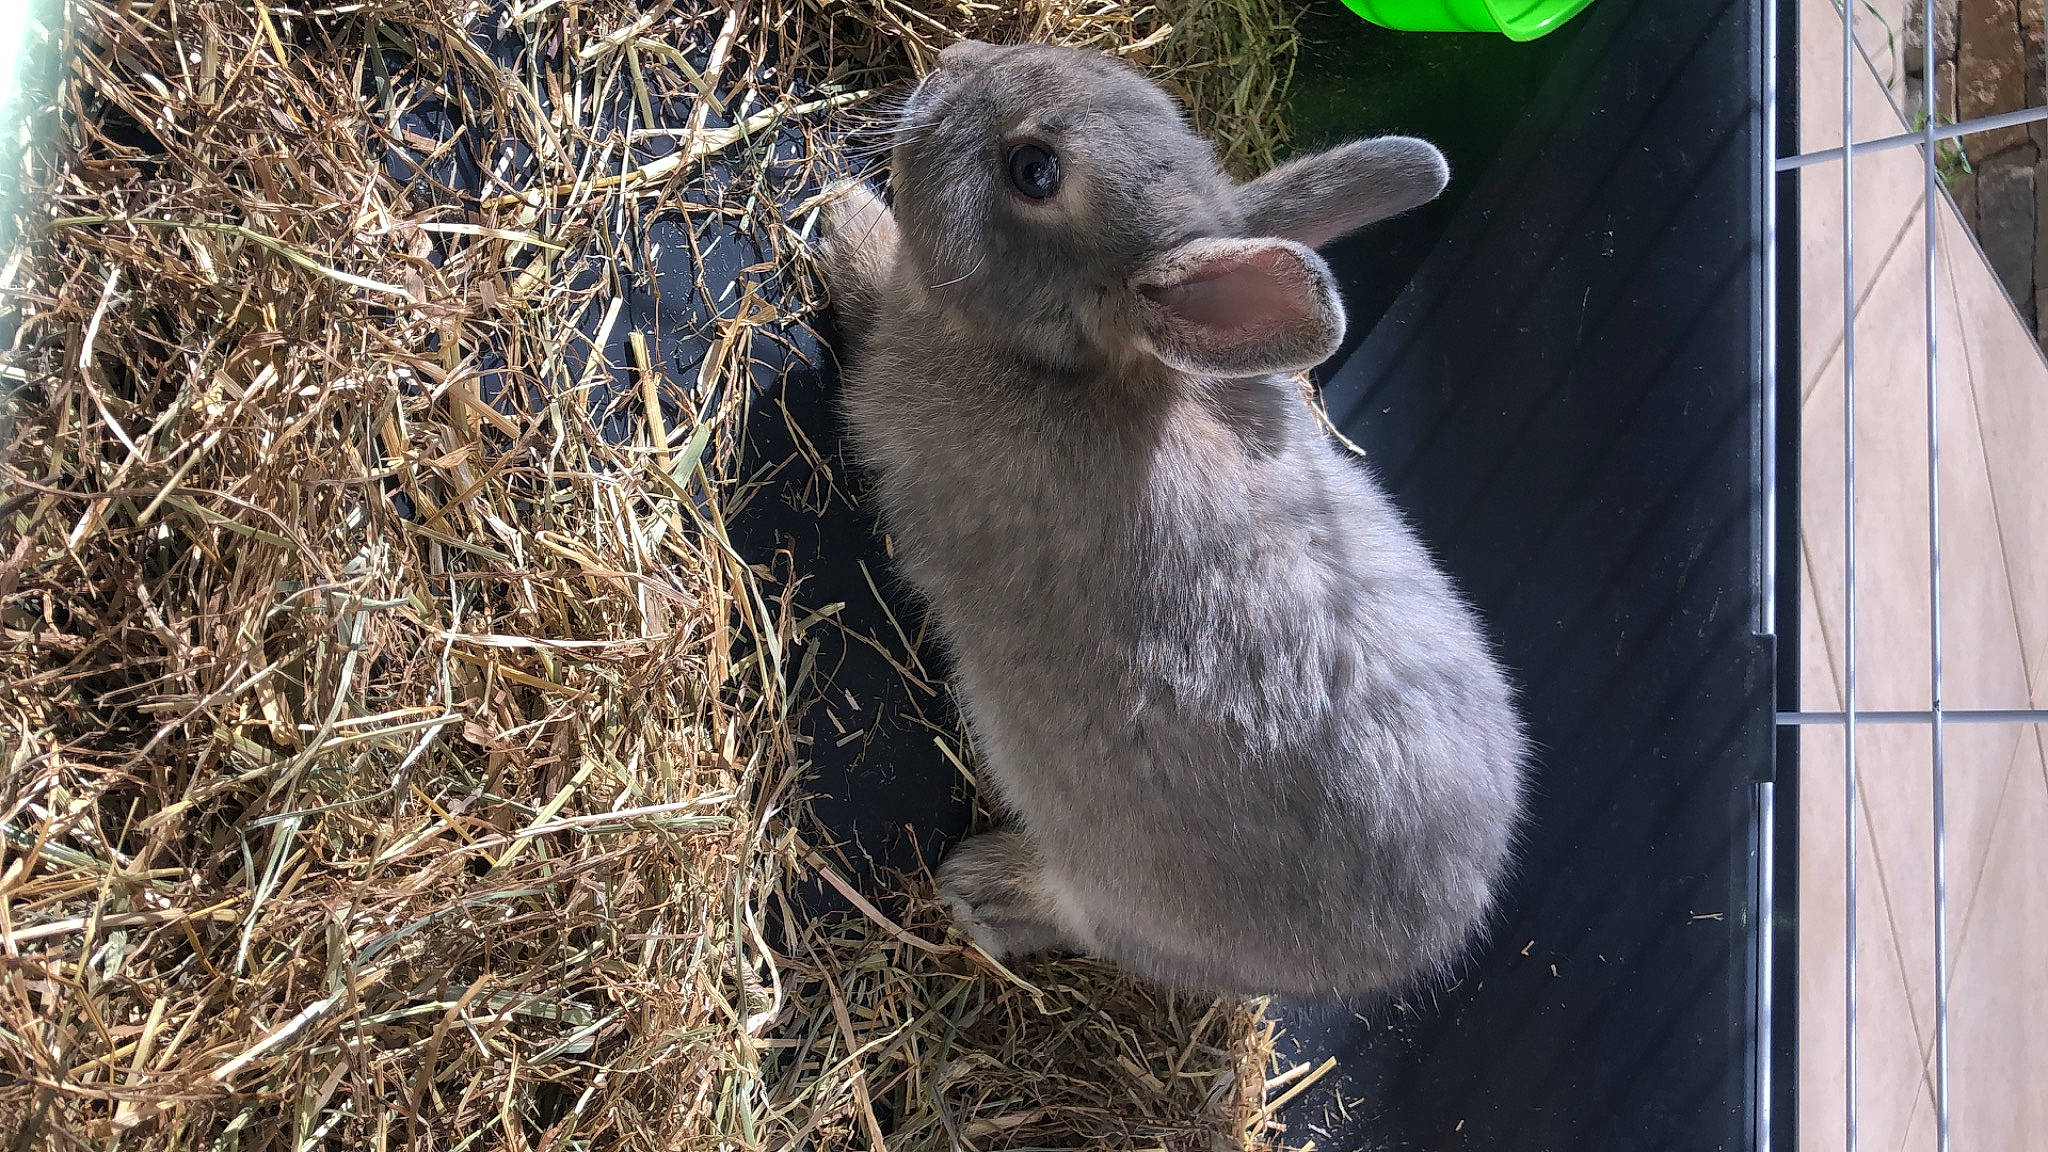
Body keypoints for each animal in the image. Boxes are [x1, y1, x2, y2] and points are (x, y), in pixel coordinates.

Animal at [817, 39, 1528, 1000]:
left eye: (1033, 171)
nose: (953, 60)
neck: (1077, 367)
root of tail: (1426, 940)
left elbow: (865, 289)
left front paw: (842, 217)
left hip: (1121, 894)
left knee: (1085, 921)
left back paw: (983, 890)